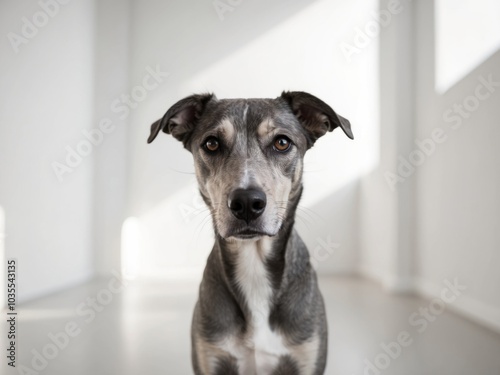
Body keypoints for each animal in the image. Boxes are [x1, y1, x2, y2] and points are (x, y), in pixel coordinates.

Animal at [146, 92, 354, 375]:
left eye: (282, 142)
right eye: (212, 143)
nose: (246, 202)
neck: (253, 262)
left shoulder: (307, 356)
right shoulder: (210, 355)